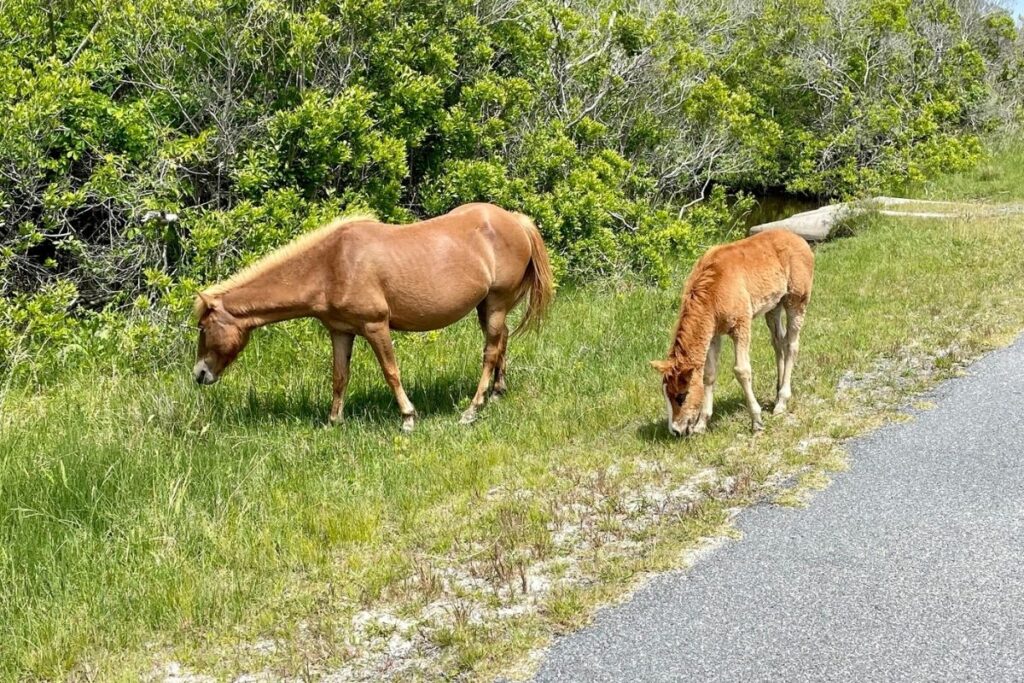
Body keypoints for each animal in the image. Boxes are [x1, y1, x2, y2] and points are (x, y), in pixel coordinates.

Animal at [195, 200, 557, 432]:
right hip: (486, 307)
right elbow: (339, 376)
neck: (330, 265)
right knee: (502, 341)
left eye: (202, 327)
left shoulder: (375, 326)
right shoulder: (341, 331)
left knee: (490, 351)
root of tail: (515, 220)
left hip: (495, 303)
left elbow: (391, 372)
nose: (199, 374)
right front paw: (333, 422)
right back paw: (497, 392)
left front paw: (408, 417)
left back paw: (472, 409)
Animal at [655, 227, 815, 436]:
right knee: (778, 343)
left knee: (791, 345)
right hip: (774, 306)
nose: (675, 430)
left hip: (796, 300)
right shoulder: (713, 334)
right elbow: (709, 374)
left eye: (681, 396)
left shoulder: (741, 325)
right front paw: (701, 424)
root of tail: (799, 239)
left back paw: (781, 401)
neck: (714, 290)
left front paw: (756, 421)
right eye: (665, 394)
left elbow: (742, 370)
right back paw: (777, 392)